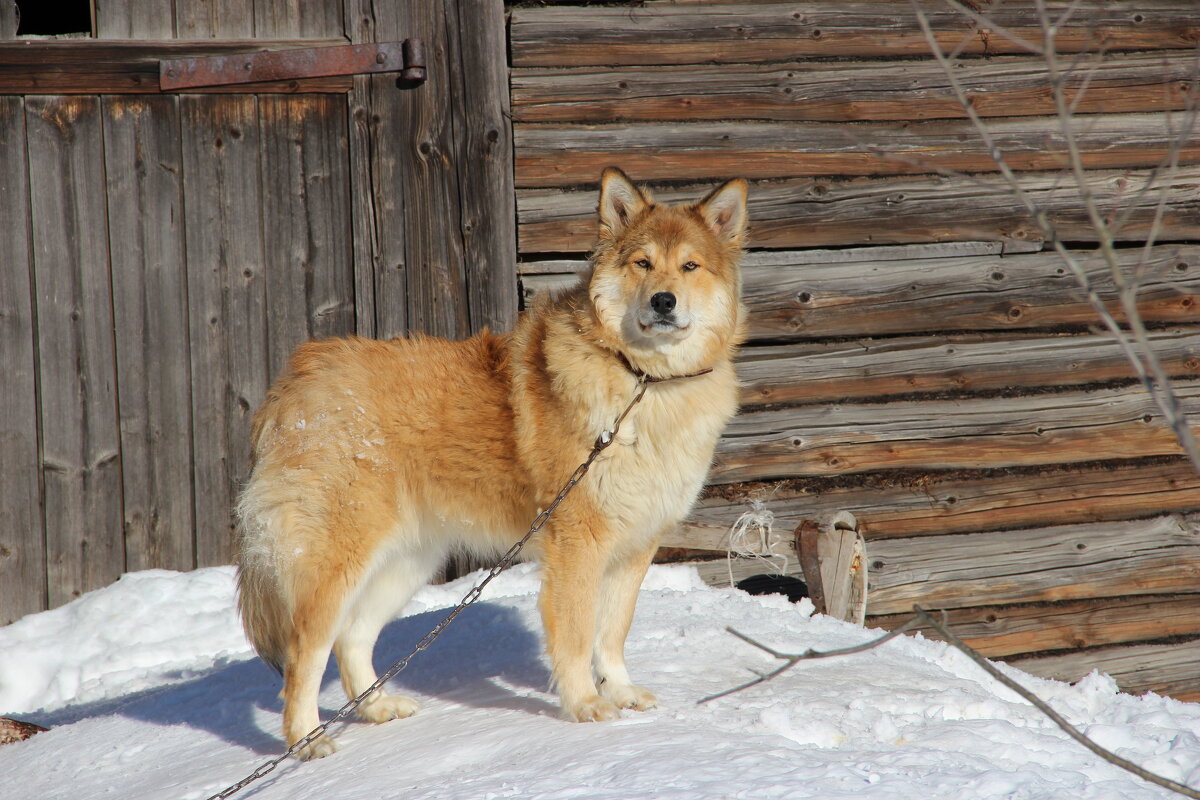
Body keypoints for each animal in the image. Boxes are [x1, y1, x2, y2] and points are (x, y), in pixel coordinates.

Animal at [235, 167, 748, 758]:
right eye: (642, 263)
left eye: (690, 266)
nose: (664, 301)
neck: (644, 382)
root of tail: (295, 381)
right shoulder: (578, 542)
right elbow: (577, 635)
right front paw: (585, 706)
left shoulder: (636, 545)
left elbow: (613, 632)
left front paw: (619, 692)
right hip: (339, 560)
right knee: (306, 652)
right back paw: (306, 741)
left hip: (406, 560)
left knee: (353, 637)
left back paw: (377, 708)